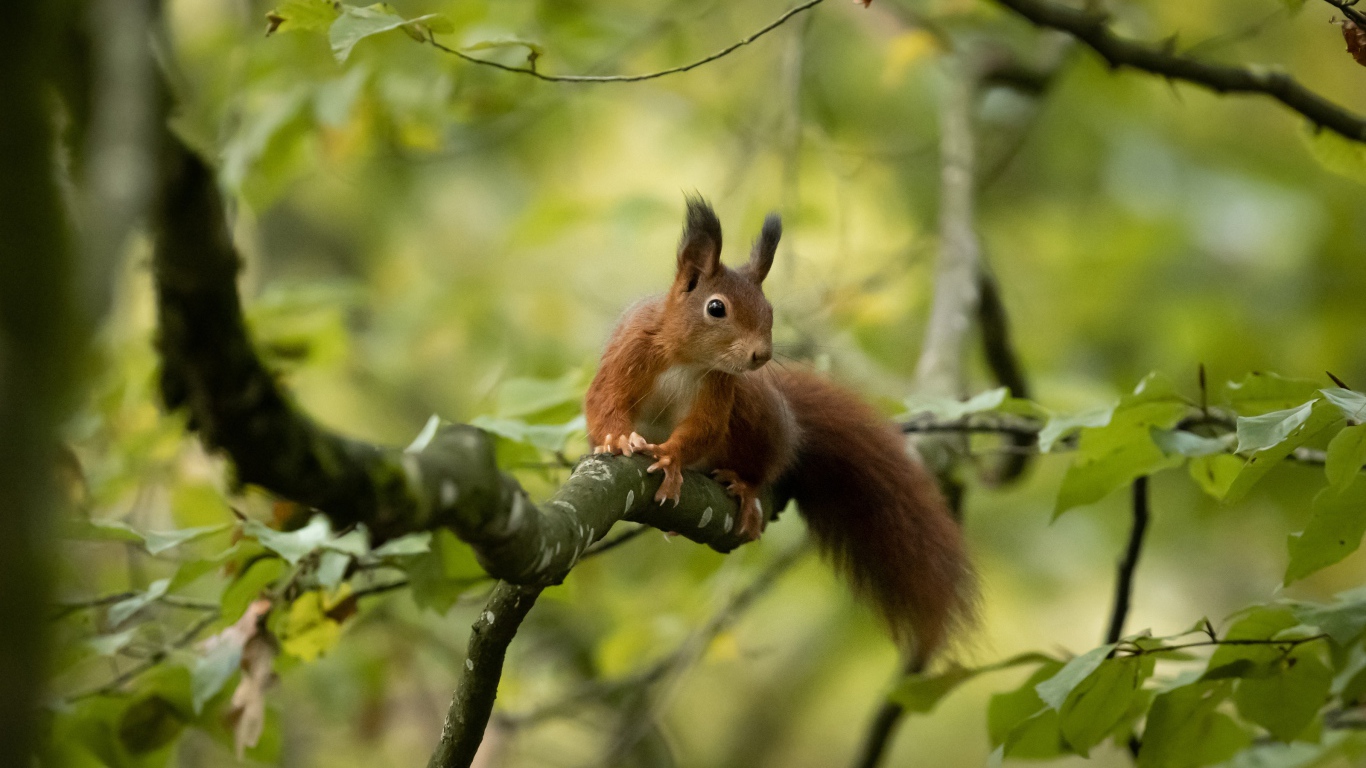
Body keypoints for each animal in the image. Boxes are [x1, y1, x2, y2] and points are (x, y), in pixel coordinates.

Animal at [581, 195, 978, 658]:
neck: (688, 358)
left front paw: (671, 456)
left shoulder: (720, 388)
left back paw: (745, 486)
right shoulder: (630, 352)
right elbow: (603, 400)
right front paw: (616, 437)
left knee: (763, 463)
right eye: (716, 308)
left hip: (756, 414)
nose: (761, 355)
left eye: (770, 310)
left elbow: (703, 429)